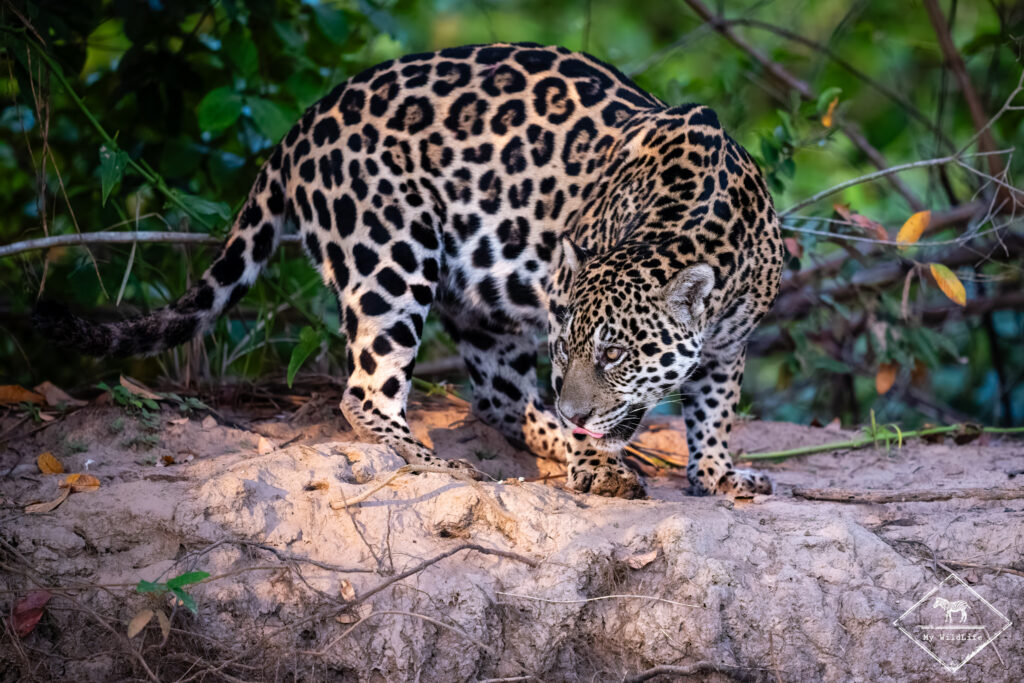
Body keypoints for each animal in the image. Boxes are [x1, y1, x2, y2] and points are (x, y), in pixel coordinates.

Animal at [34, 42, 783, 499]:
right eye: (566, 349)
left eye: (617, 353)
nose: (577, 411)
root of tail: (304, 122)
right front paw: (600, 466)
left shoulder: (731, 341)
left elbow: (716, 408)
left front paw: (718, 473)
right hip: (390, 258)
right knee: (365, 392)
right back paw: (434, 455)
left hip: (483, 305)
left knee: (499, 400)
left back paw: (541, 436)